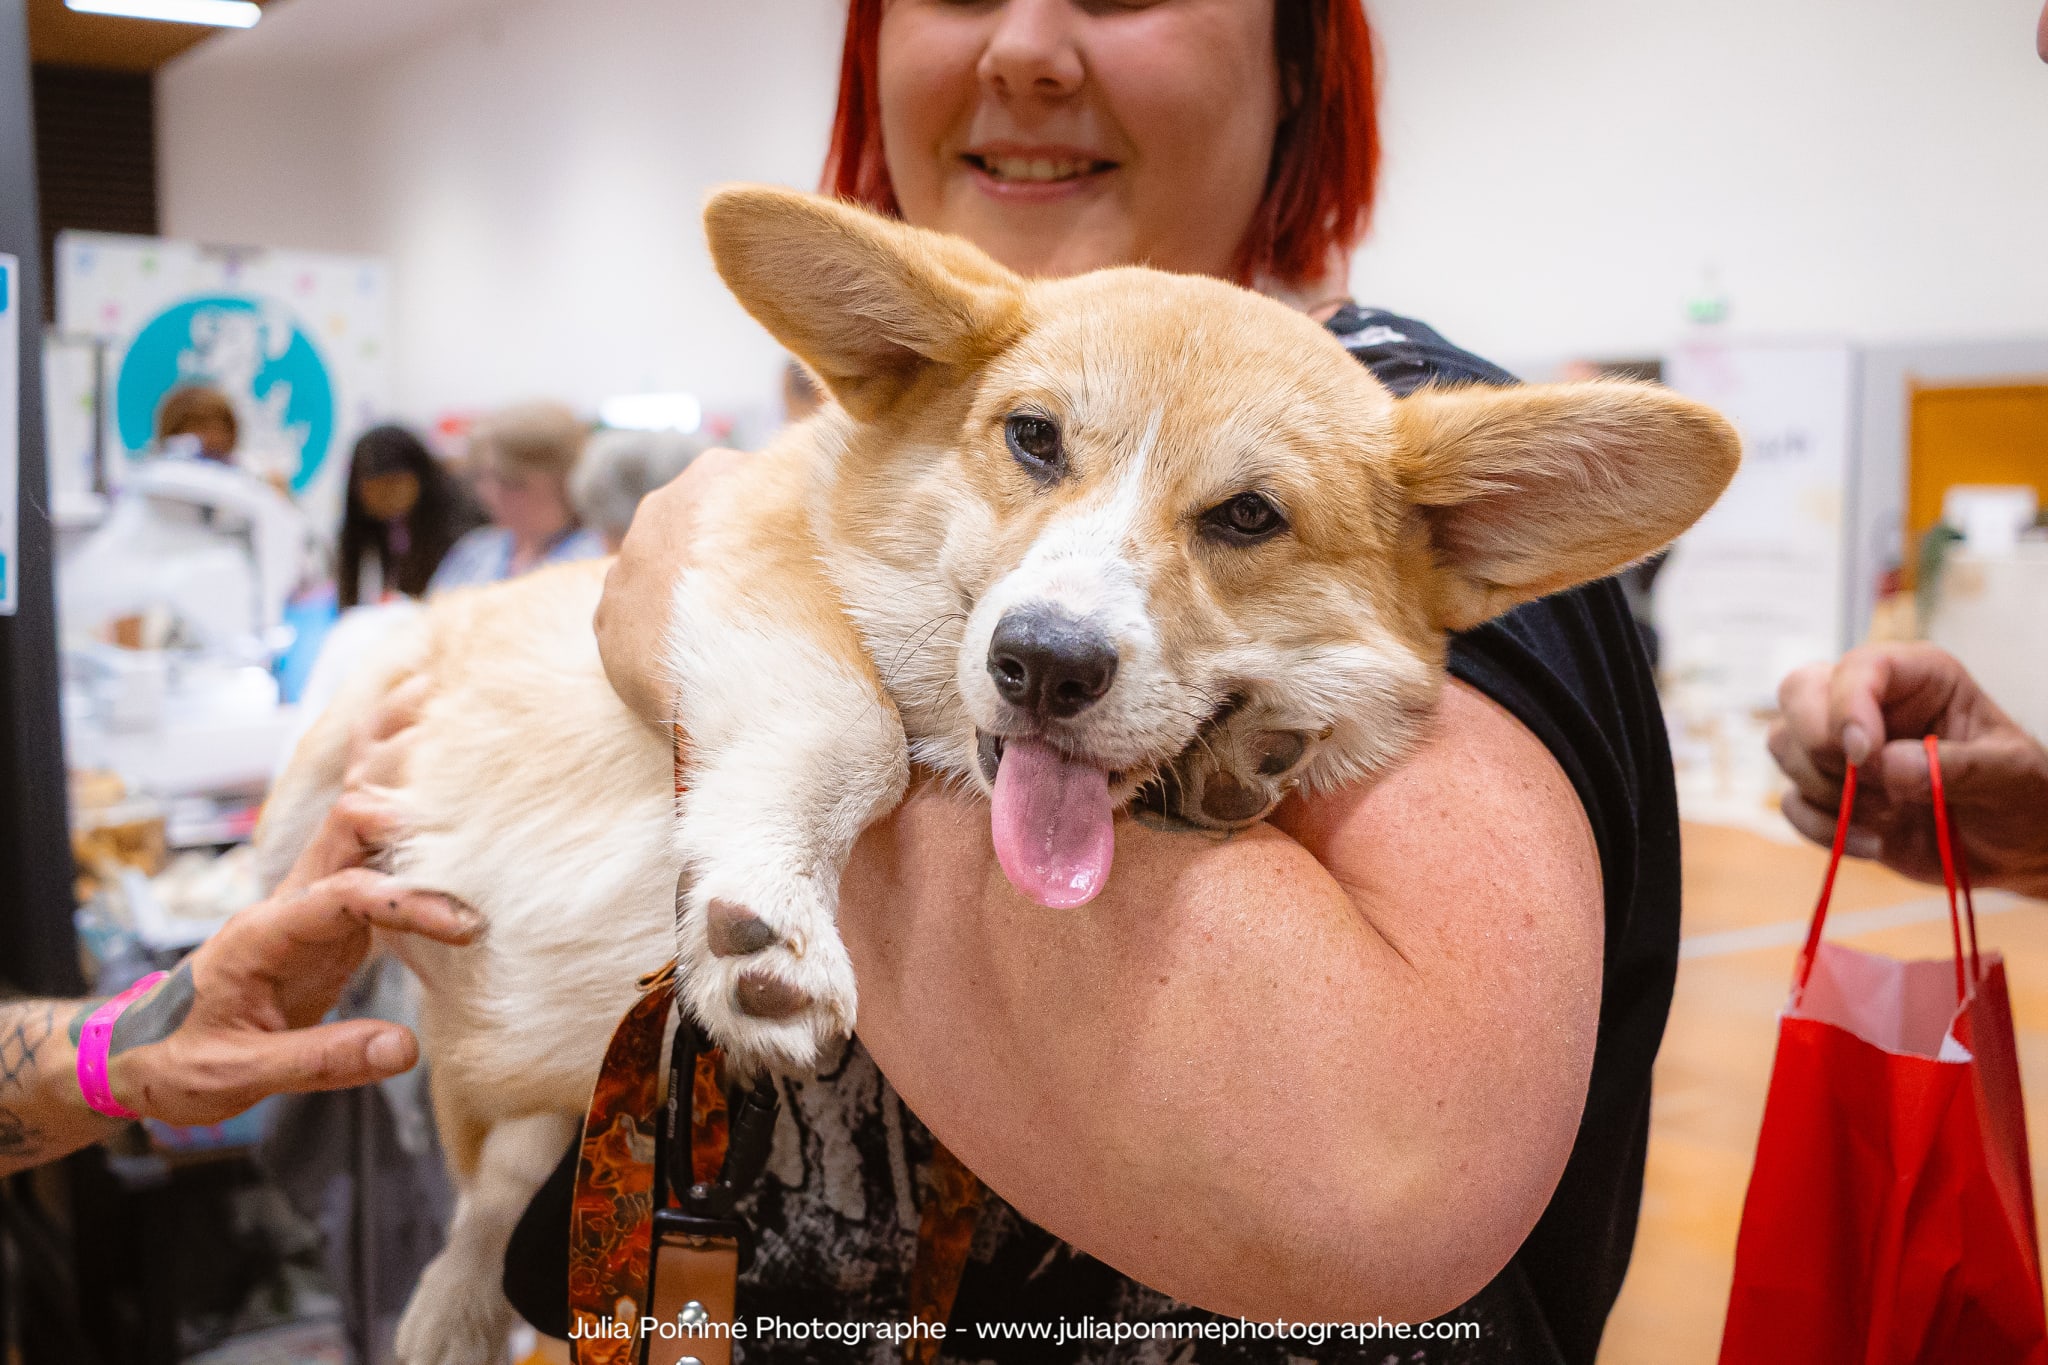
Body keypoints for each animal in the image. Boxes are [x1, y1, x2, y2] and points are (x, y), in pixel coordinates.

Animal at [251, 184, 1728, 1365]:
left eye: (1248, 516)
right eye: (1031, 438)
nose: (1043, 664)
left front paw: (1236, 753)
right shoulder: (750, 576)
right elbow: (845, 736)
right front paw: (764, 931)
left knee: (497, 1173)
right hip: (362, 677)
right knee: (306, 899)